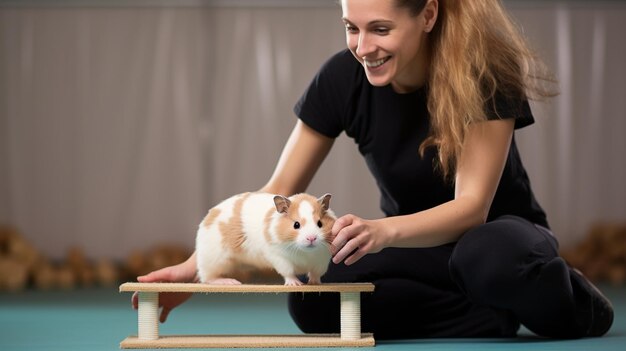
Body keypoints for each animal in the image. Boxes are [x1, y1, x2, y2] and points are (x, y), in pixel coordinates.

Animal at [195, 192, 334, 286]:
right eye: (296, 224)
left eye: (320, 223)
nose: (311, 238)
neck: (305, 252)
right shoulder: (279, 257)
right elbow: (288, 272)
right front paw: (296, 284)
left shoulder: (322, 261)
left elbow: (316, 273)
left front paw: (315, 283)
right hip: (214, 260)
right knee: (207, 277)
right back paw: (231, 282)